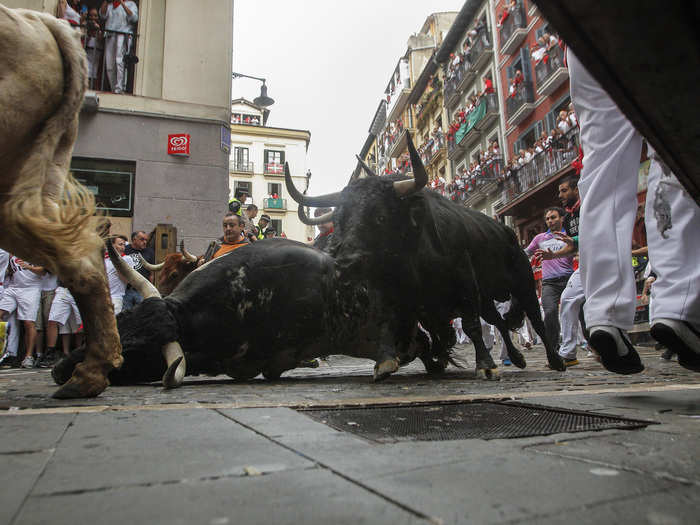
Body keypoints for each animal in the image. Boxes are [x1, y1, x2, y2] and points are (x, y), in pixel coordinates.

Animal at [288, 131, 568, 376]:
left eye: (380, 216)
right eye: (339, 220)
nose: (344, 264)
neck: (410, 257)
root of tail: (507, 232)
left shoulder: (465, 285)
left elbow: (471, 326)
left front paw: (485, 366)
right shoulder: (400, 298)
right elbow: (391, 324)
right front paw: (387, 361)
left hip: (524, 282)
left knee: (536, 318)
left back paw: (555, 360)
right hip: (487, 299)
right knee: (498, 320)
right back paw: (517, 357)